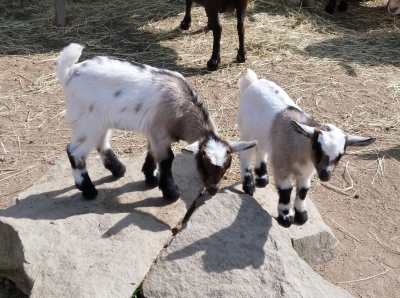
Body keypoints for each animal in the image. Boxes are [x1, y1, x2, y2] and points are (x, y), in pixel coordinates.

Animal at [56, 42, 256, 200]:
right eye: (203, 166)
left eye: (226, 167)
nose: (213, 190)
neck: (180, 106)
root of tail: (70, 72)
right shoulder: (160, 133)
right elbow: (167, 159)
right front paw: (171, 192)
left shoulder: (155, 133)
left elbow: (152, 154)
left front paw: (151, 178)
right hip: (86, 121)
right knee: (75, 152)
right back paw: (88, 190)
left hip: (100, 121)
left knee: (101, 142)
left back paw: (118, 170)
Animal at [236, 70, 376, 227]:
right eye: (316, 148)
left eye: (341, 155)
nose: (325, 175)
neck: (301, 151)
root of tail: (252, 82)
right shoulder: (281, 166)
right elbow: (286, 190)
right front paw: (286, 217)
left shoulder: (306, 173)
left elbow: (303, 191)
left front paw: (301, 215)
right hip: (246, 130)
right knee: (246, 154)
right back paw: (249, 186)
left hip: (262, 135)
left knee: (262, 150)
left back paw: (262, 178)